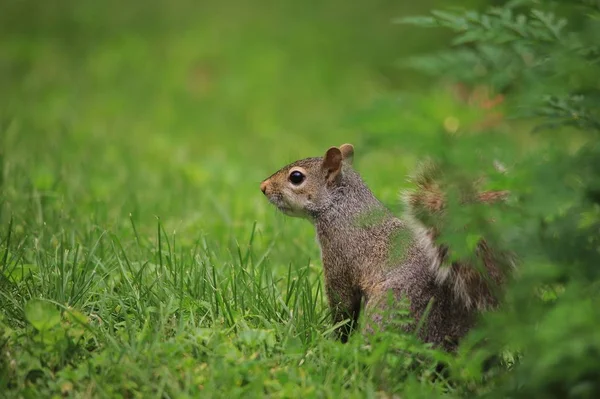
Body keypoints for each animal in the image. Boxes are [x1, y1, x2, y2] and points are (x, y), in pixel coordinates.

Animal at [260, 144, 512, 350]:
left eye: (296, 177)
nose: (263, 187)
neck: (343, 209)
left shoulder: (340, 258)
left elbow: (343, 306)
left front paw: (337, 340)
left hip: (393, 307)